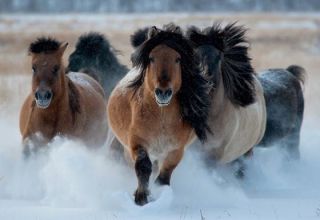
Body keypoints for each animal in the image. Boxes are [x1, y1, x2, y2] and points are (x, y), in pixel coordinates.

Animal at [109, 24, 211, 206]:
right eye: (151, 58)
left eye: (177, 59)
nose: (163, 92)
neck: (161, 119)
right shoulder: (137, 143)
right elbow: (143, 167)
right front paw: (141, 197)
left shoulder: (176, 150)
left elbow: (164, 175)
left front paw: (158, 192)